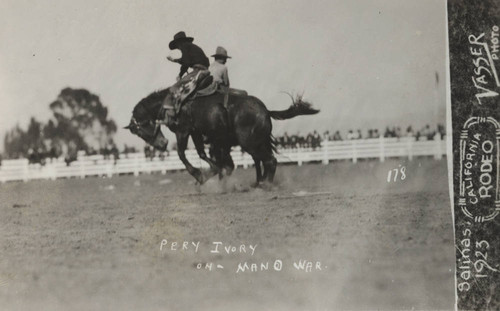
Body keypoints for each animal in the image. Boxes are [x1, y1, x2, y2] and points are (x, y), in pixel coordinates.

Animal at [126, 72, 320, 186]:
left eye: (140, 130)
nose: (161, 144)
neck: (174, 102)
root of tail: (265, 110)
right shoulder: (197, 132)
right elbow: (202, 153)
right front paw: (213, 172)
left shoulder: (183, 131)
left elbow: (182, 154)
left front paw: (200, 175)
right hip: (257, 142)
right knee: (263, 161)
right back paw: (259, 182)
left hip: (249, 143)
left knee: (269, 161)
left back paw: (265, 185)